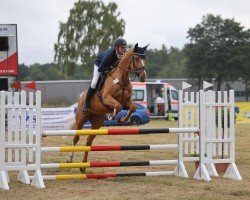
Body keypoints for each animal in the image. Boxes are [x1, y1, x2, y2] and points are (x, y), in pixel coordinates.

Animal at [67, 43, 148, 172]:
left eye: (145, 59)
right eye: (136, 58)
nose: (143, 77)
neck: (121, 78)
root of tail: (81, 96)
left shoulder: (126, 102)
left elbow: (133, 107)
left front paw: (123, 119)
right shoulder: (106, 98)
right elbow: (118, 106)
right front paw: (111, 115)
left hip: (97, 122)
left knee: (89, 141)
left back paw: (83, 166)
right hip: (81, 119)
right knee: (76, 138)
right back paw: (70, 159)